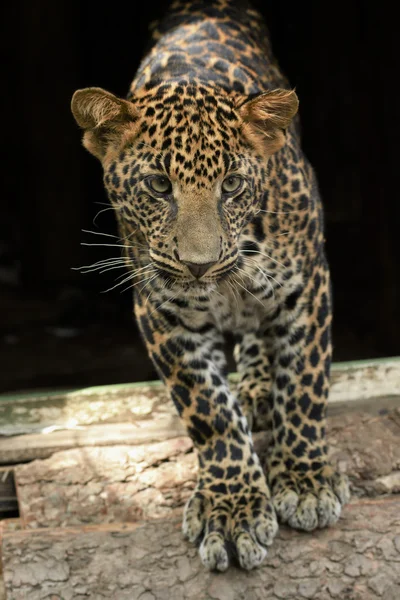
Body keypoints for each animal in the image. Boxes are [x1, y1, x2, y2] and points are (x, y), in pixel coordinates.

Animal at [72, 0, 350, 572]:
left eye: (232, 185)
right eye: (159, 185)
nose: (199, 267)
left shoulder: (308, 284)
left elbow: (305, 383)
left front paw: (306, 479)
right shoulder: (160, 310)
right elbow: (209, 410)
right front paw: (233, 507)